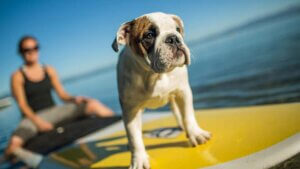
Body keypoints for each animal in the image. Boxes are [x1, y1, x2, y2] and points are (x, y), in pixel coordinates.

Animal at [111, 12, 210, 169]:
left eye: (177, 29)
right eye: (149, 35)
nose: (173, 38)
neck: (154, 75)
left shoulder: (183, 92)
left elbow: (188, 115)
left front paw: (195, 134)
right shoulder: (130, 110)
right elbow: (134, 136)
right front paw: (138, 160)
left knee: (177, 111)